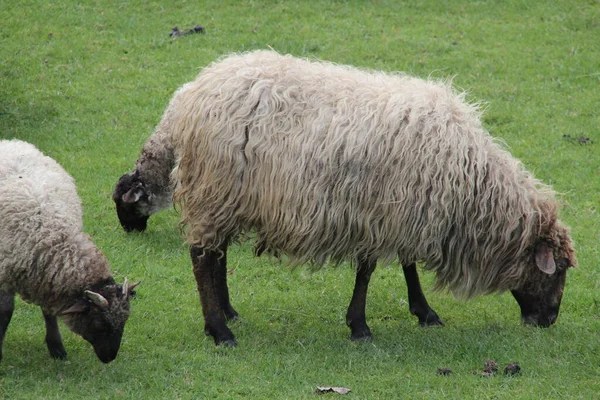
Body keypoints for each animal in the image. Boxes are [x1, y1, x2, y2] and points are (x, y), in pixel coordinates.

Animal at [0, 140, 138, 362]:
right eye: (99, 323)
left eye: (125, 320)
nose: (109, 358)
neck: (50, 235)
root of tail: (9, 142)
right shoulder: (5, 271)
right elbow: (5, 311)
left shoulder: (46, 279)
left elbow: (48, 312)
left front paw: (56, 346)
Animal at [113, 50, 576, 346]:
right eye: (556, 271)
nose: (550, 321)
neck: (472, 185)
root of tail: (193, 94)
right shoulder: (380, 214)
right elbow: (369, 271)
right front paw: (361, 326)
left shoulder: (403, 211)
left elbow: (405, 265)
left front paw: (424, 312)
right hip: (216, 189)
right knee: (201, 260)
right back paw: (220, 332)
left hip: (228, 197)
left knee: (217, 256)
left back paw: (227, 313)